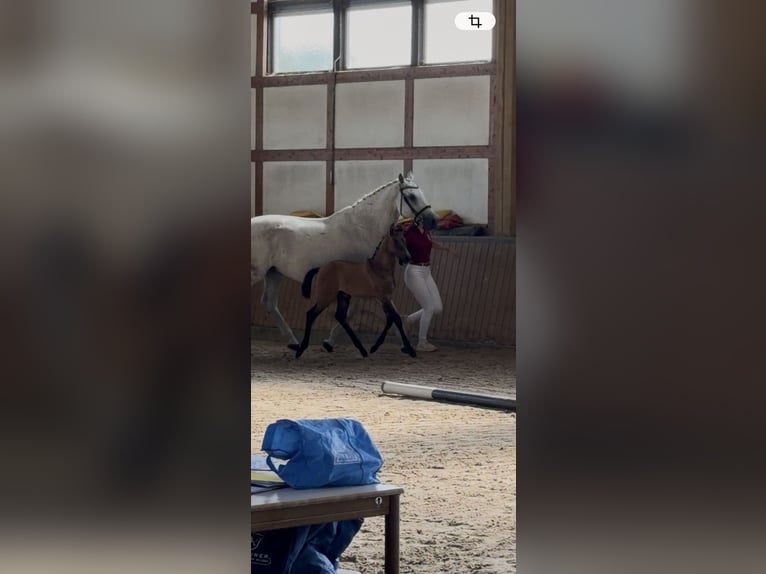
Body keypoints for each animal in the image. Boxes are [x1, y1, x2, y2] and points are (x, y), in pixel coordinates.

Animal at [294, 224, 417, 359]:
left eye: (405, 241)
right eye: (395, 241)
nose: (408, 258)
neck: (379, 269)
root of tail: (321, 268)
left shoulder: (386, 298)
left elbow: (391, 319)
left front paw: (374, 347)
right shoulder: (383, 297)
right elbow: (397, 319)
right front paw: (411, 350)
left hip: (343, 296)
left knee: (340, 316)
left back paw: (362, 350)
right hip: (326, 296)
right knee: (311, 314)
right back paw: (300, 350)